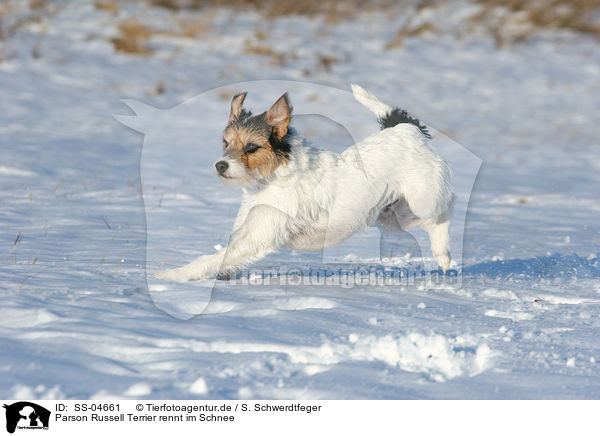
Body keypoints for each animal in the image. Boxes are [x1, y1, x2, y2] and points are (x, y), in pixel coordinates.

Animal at [157, 84, 452, 282]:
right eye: (226, 143)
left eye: (251, 148)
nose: (221, 165)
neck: (273, 178)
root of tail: (405, 129)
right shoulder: (249, 230)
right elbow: (225, 259)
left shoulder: (257, 236)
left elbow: (214, 258)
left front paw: (173, 275)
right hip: (391, 216)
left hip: (423, 199)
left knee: (445, 211)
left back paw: (443, 252)